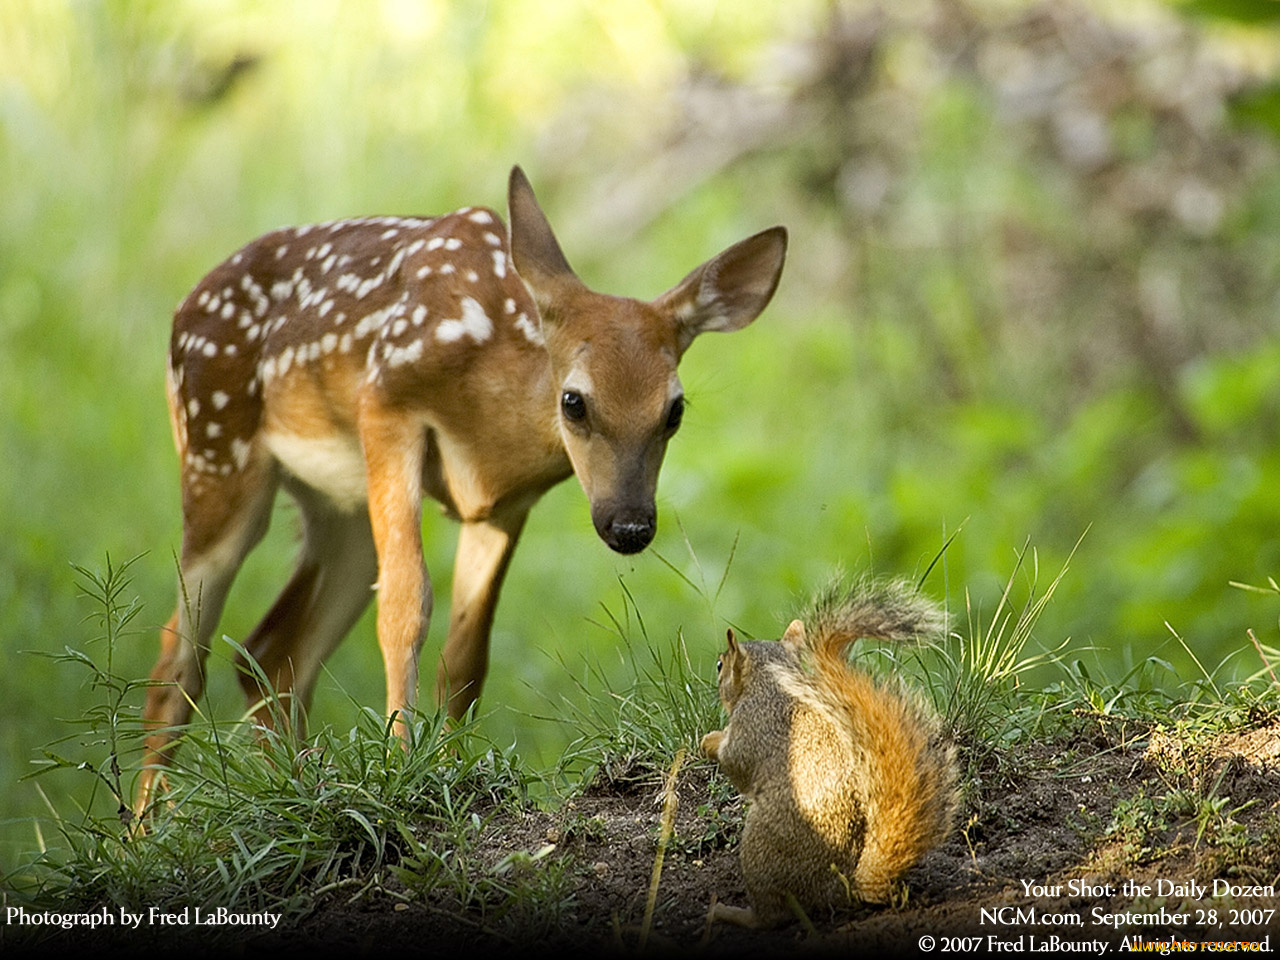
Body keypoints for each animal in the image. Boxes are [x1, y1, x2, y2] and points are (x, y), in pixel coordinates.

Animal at [701, 578, 962, 931]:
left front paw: (710, 741)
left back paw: (731, 913)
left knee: (772, 915)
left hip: (760, 851)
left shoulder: (752, 726)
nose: (714, 670)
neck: (772, 681)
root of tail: (843, 888)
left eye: (720, 665)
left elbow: (736, 763)